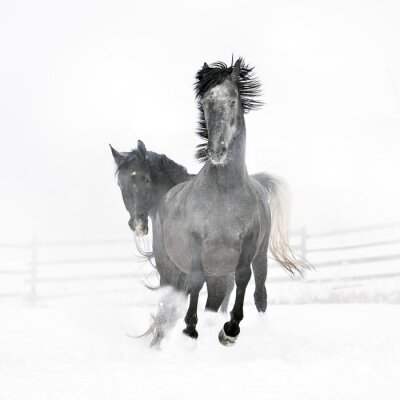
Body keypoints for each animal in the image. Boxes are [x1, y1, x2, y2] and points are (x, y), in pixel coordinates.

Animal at [155, 57, 308, 346]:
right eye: (205, 103)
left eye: (233, 101)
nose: (216, 151)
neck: (225, 195)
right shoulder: (195, 242)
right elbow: (195, 280)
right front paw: (190, 329)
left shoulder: (248, 242)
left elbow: (243, 277)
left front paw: (230, 330)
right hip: (174, 267)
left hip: (257, 257)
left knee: (259, 294)